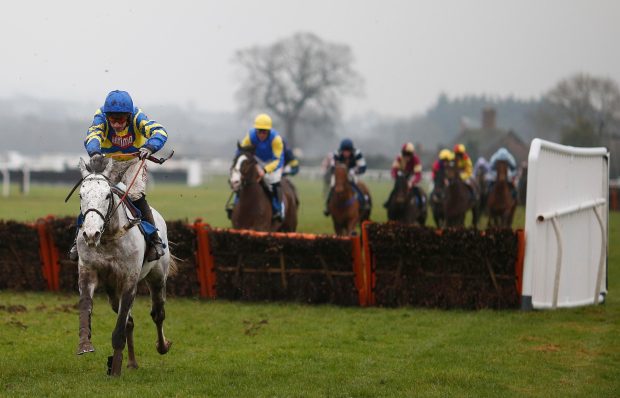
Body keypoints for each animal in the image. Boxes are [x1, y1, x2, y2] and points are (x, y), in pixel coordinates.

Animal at [75, 159, 173, 376]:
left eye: (106, 195)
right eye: (81, 195)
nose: (91, 234)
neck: (108, 237)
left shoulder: (130, 280)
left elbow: (121, 325)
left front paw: (115, 368)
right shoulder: (88, 272)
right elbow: (85, 305)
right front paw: (85, 344)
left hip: (157, 276)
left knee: (158, 314)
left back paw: (162, 346)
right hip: (112, 289)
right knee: (130, 321)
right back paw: (132, 362)